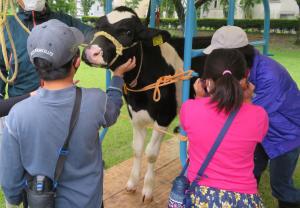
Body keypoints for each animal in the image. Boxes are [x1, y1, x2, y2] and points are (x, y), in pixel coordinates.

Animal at [82, 6, 211, 202]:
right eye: (97, 26)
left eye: (128, 32)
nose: (91, 52)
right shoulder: (134, 114)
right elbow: (137, 149)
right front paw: (132, 183)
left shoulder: (164, 116)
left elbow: (151, 153)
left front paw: (148, 189)